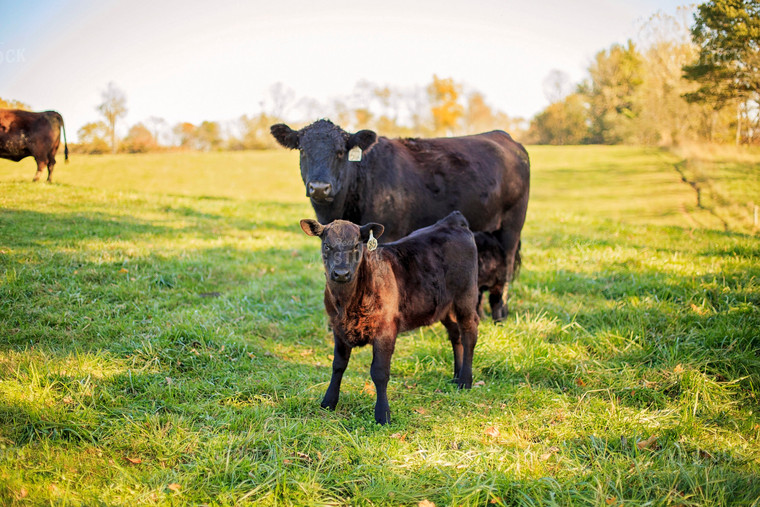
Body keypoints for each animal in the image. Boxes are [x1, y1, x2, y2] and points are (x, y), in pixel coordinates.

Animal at [272, 118, 528, 322]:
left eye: (340, 152)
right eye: (302, 150)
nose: (319, 187)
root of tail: (503, 136)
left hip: (511, 227)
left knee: (505, 272)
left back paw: (499, 315)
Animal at [300, 210, 478, 424]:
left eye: (356, 245)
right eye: (327, 245)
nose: (341, 273)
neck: (346, 304)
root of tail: (453, 220)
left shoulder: (385, 329)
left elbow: (379, 372)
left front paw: (383, 414)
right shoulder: (338, 328)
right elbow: (338, 366)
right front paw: (328, 402)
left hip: (466, 297)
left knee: (469, 334)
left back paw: (465, 381)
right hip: (444, 306)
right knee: (455, 335)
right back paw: (456, 375)